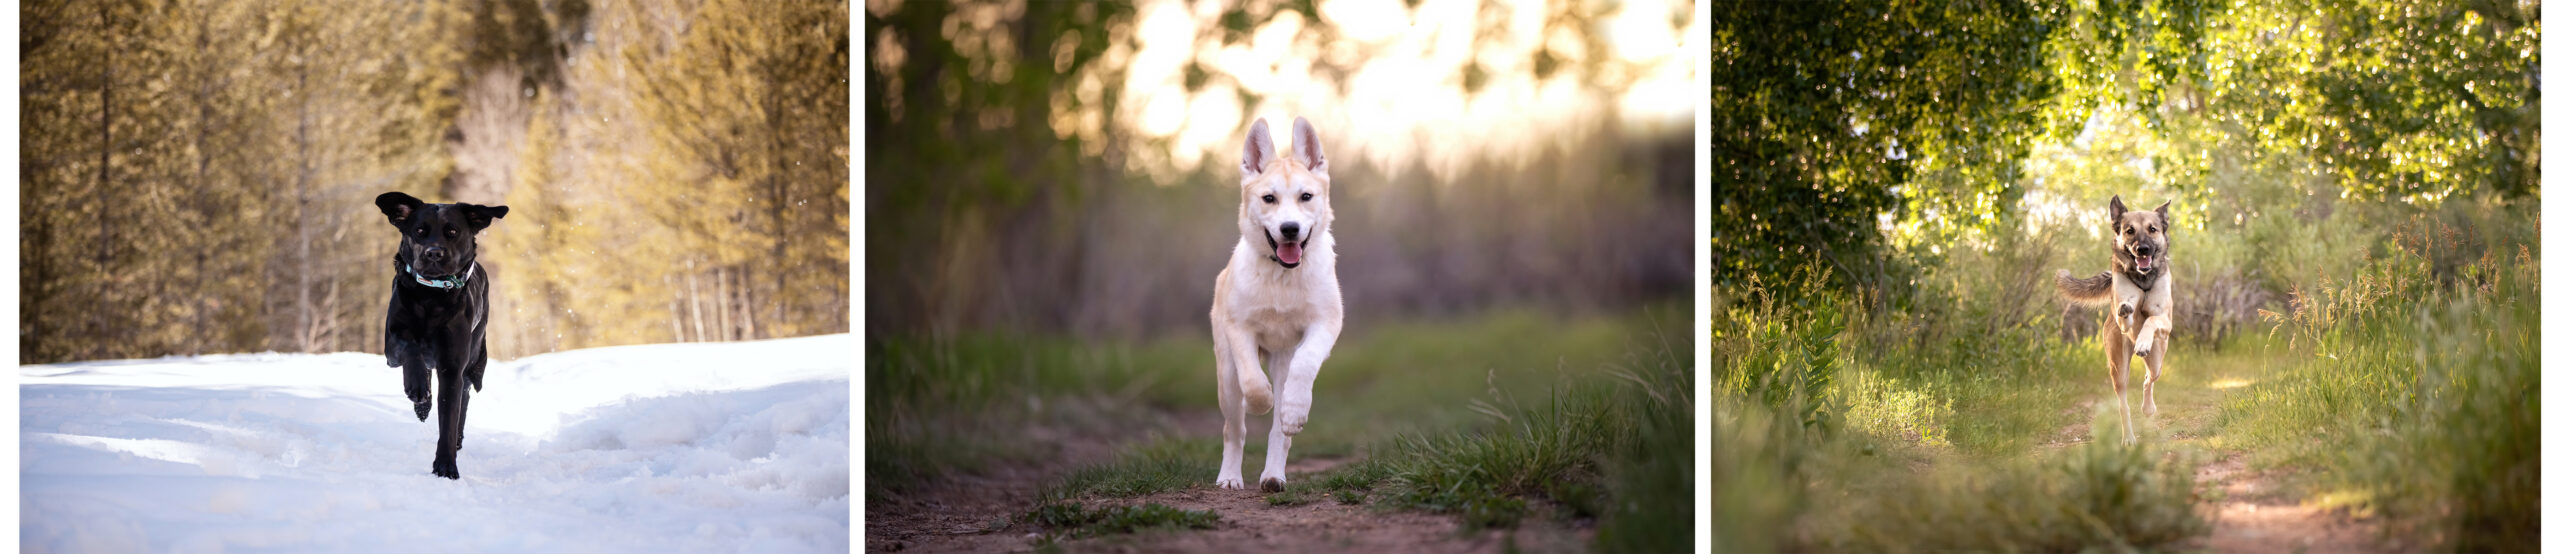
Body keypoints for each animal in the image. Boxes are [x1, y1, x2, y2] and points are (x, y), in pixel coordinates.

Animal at [373, 192, 504, 477]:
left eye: (452, 231)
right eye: (419, 232)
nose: (433, 252)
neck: (431, 297)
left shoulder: (452, 366)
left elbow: (449, 417)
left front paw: (445, 466)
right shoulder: (391, 347)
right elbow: (411, 349)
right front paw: (417, 389)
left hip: (473, 359)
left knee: (463, 400)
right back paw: (421, 401)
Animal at [1208, 116, 1351, 492]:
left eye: (1306, 197)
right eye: (1269, 198)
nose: (1290, 229)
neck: (1282, 276)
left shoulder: (1326, 324)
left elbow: (1306, 363)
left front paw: (1294, 410)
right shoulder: (1239, 329)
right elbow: (1253, 380)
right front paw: (1263, 401)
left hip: (1281, 360)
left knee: (1279, 433)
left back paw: (1274, 474)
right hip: (1225, 377)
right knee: (1234, 430)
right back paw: (1230, 477)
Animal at [2048, 197, 2170, 443]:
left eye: (2152, 229)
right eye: (2129, 231)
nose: (2142, 249)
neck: (2143, 280)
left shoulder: (2164, 320)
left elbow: (2151, 321)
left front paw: (2143, 339)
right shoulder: (2125, 320)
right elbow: (2128, 314)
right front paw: (2126, 309)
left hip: (2157, 360)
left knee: (2149, 378)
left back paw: (2148, 408)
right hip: (2118, 368)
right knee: (2124, 405)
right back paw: (2129, 438)